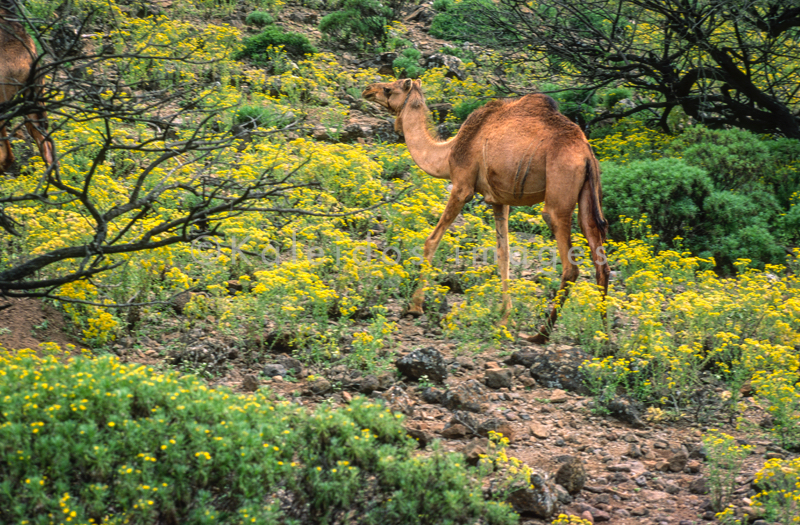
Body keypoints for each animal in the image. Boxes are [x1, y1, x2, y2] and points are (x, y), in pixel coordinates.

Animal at [366, 77, 608, 340]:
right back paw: (604, 335)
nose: (367, 89)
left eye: (389, 88)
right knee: (600, 259)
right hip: (587, 196)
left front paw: (415, 306)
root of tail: (586, 154)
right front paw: (503, 319)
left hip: (559, 191)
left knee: (570, 265)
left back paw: (541, 334)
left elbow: (432, 240)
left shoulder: (462, 186)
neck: (447, 153)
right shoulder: (499, 200)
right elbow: (503, 255)